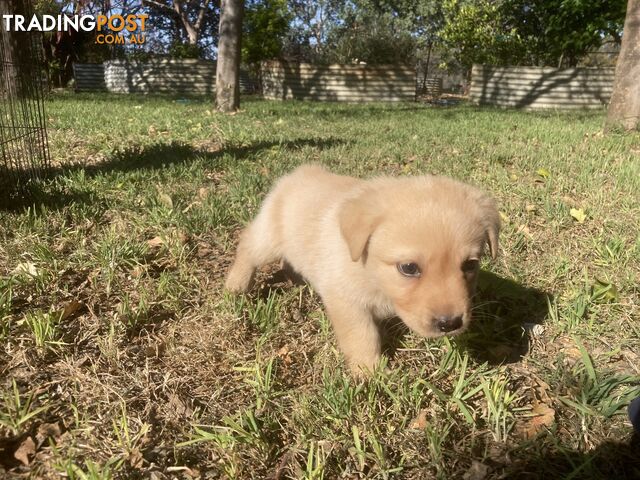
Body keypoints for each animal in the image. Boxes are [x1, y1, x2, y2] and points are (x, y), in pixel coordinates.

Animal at [225, 165, 500, 376]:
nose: (450, 323)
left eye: (470, 265)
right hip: (269, 239)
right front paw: (371, 373)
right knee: (247, 245)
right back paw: (235, 285)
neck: (372, 274)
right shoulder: (347, 301)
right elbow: (362, 336)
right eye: (409, 268)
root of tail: (299, 172)